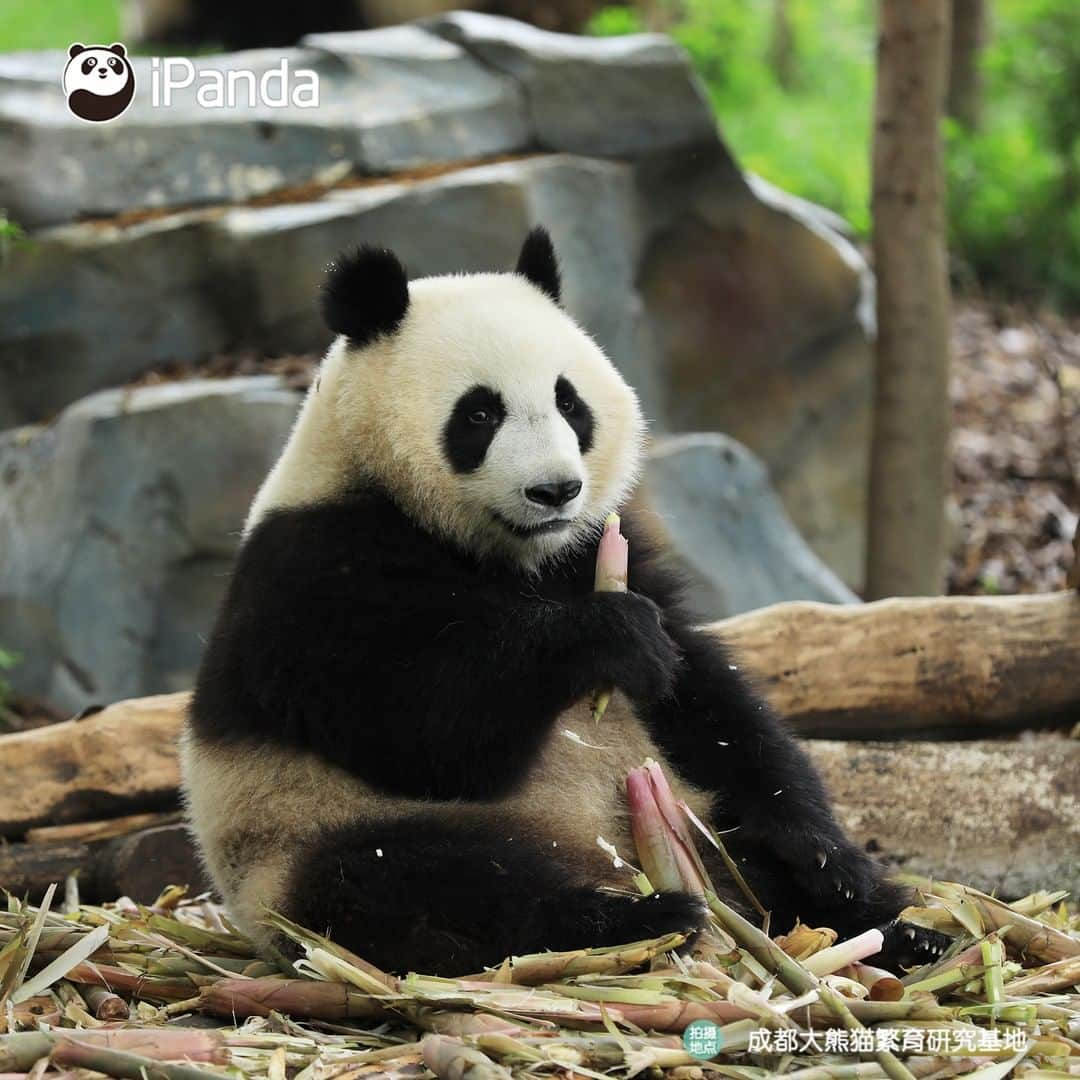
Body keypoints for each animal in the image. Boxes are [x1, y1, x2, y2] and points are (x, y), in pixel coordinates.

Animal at [185, 230, 946, 980]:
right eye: (480, 412)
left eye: (569, 402)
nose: (556, 491)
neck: (505, 552)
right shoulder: (315, 575)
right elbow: (423, 725)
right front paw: (608, 636)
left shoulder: (602, 547)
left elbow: (708, 700)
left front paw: (823, 853)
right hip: (305, 833)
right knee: (424, 886)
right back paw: (639, 920)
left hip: (690, 814)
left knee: (751, 859)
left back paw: (899, 932)